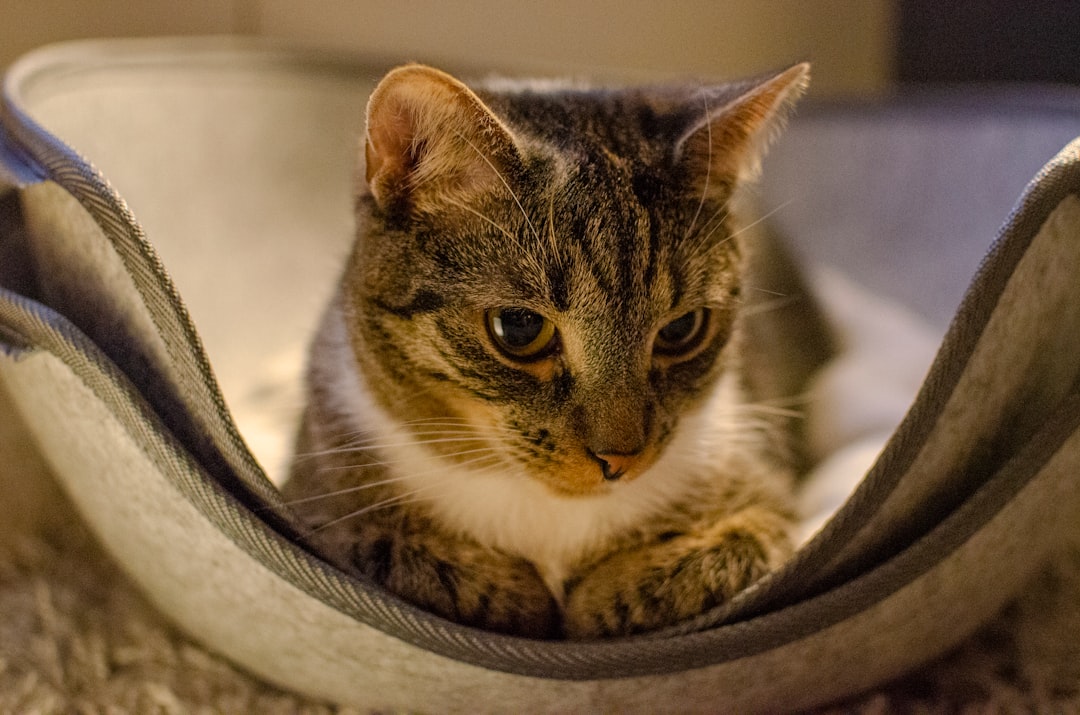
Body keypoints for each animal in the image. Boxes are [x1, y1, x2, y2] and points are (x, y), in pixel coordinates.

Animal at [282, 61, 829, 639]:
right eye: (520, 328)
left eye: (682, 328)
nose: (620, 458)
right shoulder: (316, 499)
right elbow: (394, 551)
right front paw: (522, 596)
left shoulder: (766, 493)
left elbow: (724, 551)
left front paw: (598, 598)